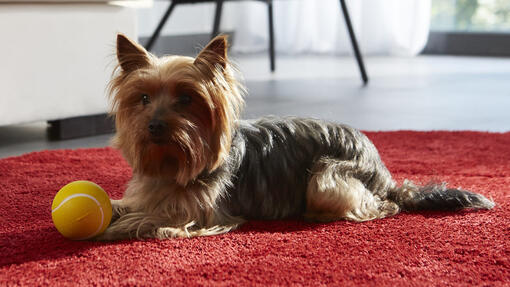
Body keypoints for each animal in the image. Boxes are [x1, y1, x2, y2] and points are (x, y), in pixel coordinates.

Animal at [94, 33, 494, 241]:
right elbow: (127, 205)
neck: (175, 162)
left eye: (186, 99)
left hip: (326, 178)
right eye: (143, 99)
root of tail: (383, 172)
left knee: (380, 206)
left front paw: (114, 227)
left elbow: (152, 220)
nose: (154, 126)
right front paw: (114, 212)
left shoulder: (202, 214)